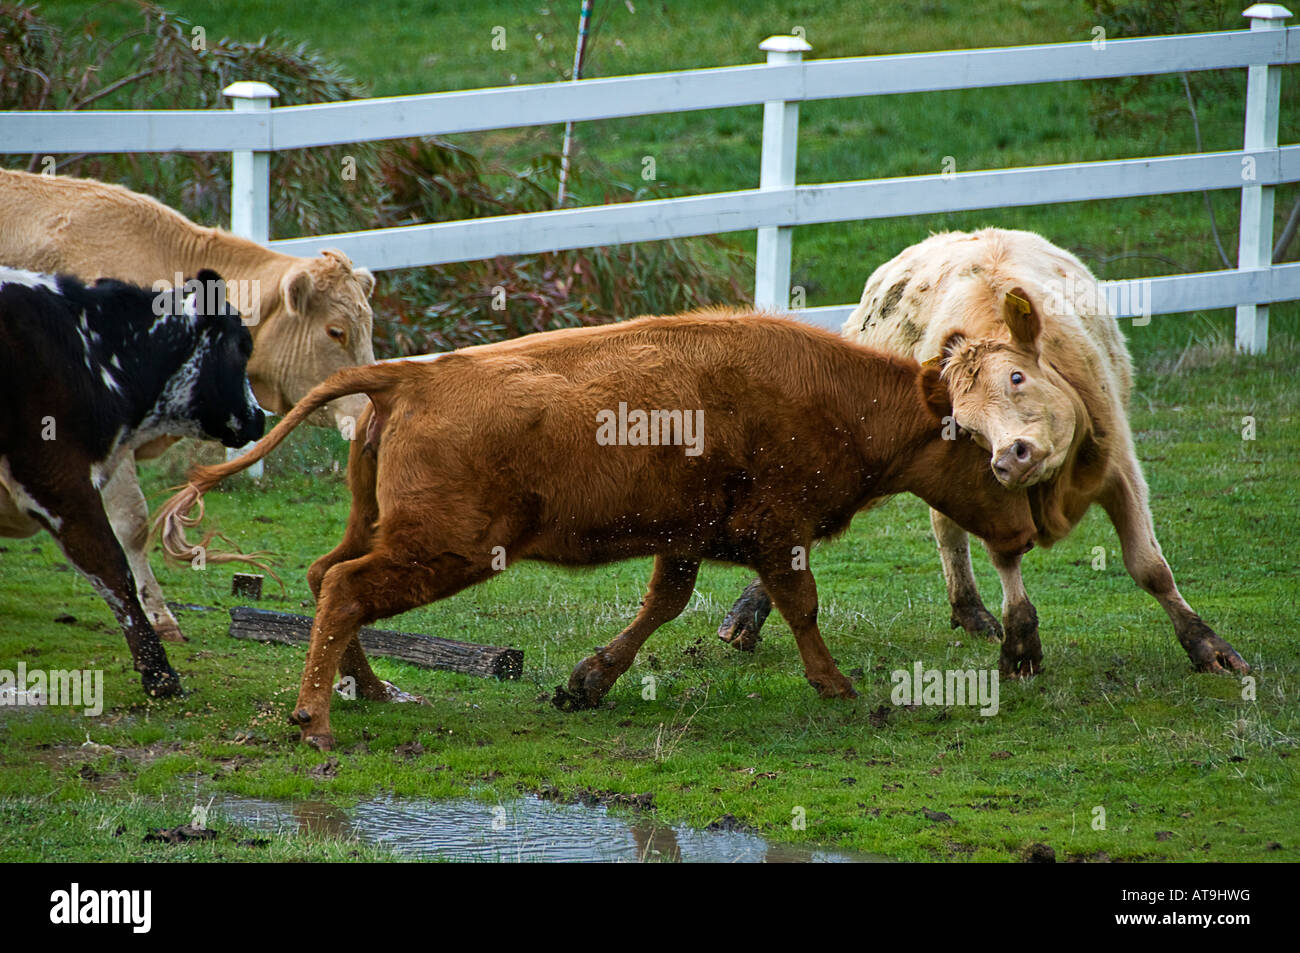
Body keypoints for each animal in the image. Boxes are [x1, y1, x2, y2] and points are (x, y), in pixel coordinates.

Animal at [154, 308, 1034, 748]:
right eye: (977, 441)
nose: (1025, 530)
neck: (840, 395)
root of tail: (412, 375)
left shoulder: (684, 539)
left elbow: (662, 605)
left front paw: (589, 680)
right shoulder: (778, 530)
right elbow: (801, 604)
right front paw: (836, 684)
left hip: (388, 528)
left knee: (325, 576)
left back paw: (373, 688)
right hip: (448, 548)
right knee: (343, 585)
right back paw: (318, 717)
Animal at [722, 228, 1248, 676]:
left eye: (1017, 376)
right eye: (969, 427)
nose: (1010, 456)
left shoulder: (1120, 466)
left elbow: (1149, 565)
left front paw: (1208, 647)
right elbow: (1007, 560)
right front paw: (1021, 644)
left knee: (942, 523)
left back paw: (968, 610)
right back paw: (747, 615)